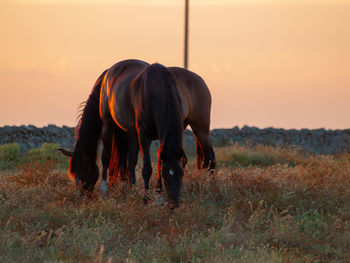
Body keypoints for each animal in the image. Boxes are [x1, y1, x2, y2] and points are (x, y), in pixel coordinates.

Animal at [58, 58, 215, 208]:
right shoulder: (143, 135)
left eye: (78, 173)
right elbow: (147, 168)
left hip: (200, 126)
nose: (174, 204)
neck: (157, 90)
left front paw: (154, 197)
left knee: (210, 157)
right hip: (113, 126)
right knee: (113, 158)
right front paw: (147, 198)